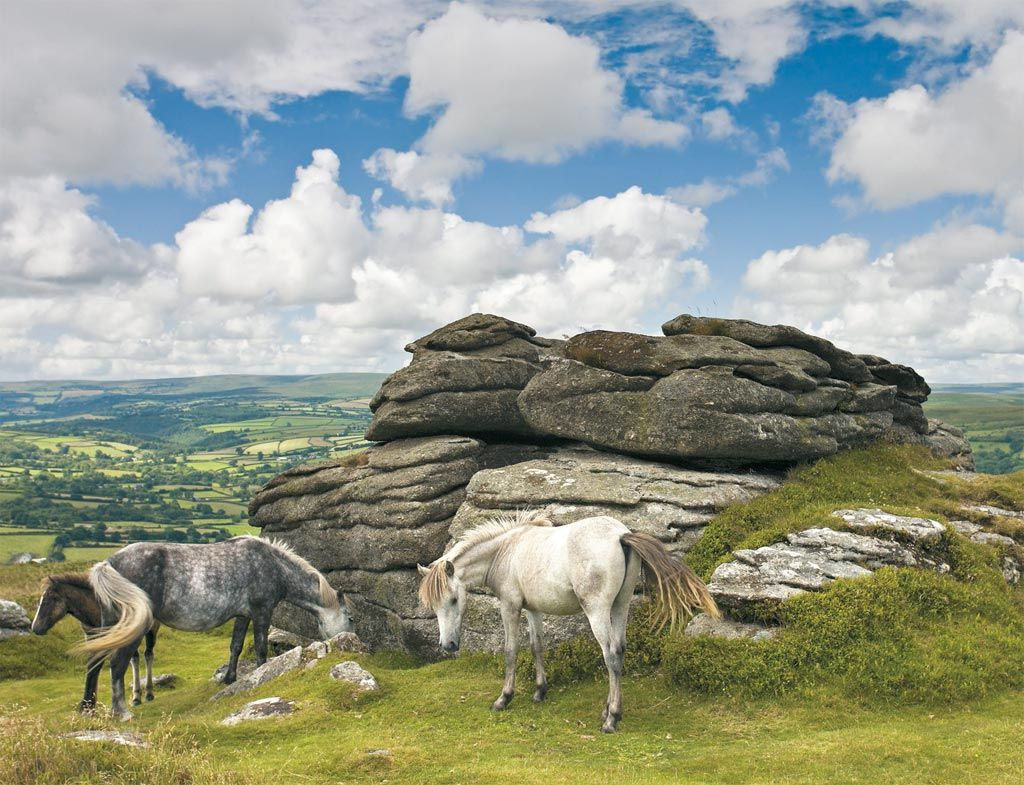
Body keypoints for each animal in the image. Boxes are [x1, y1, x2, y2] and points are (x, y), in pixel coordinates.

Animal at [30, 573, 158, 716]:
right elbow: (92, 666)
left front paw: (88, 706)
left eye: (48, 600)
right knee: (135, 659)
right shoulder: (92, 639)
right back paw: (136, 697)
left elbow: (98, 666)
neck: (96, 607)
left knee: (148, 655)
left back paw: (149, 693)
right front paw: (88, 706)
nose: (35, 628)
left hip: (151, 629)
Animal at [74, 536, 350, 720]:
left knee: (95, 661)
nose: (351, 641)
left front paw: (230, 679)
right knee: (117, 664)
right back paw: (121, 711)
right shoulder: (262, 613)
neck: (272, 566)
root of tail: (109, 563)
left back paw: (87, 707)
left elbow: (236, 646)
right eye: (350, 617)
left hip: (110, 623)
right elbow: (261, 650)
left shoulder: (242, 615)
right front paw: (261, 677)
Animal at [415, 511, 720, 732]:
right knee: (620, 650)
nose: (448, 645)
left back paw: (612, 719)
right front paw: (540, 691)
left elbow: (511, 651)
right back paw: (608, 709)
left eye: (454, 599)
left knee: (610, 654)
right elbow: (536, 646)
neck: (507, 551)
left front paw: (504, 698)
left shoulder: (510, 607)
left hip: (597, 611)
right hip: (620, 607)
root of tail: (621, 535)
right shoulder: (533, 610)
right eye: (433, 605)